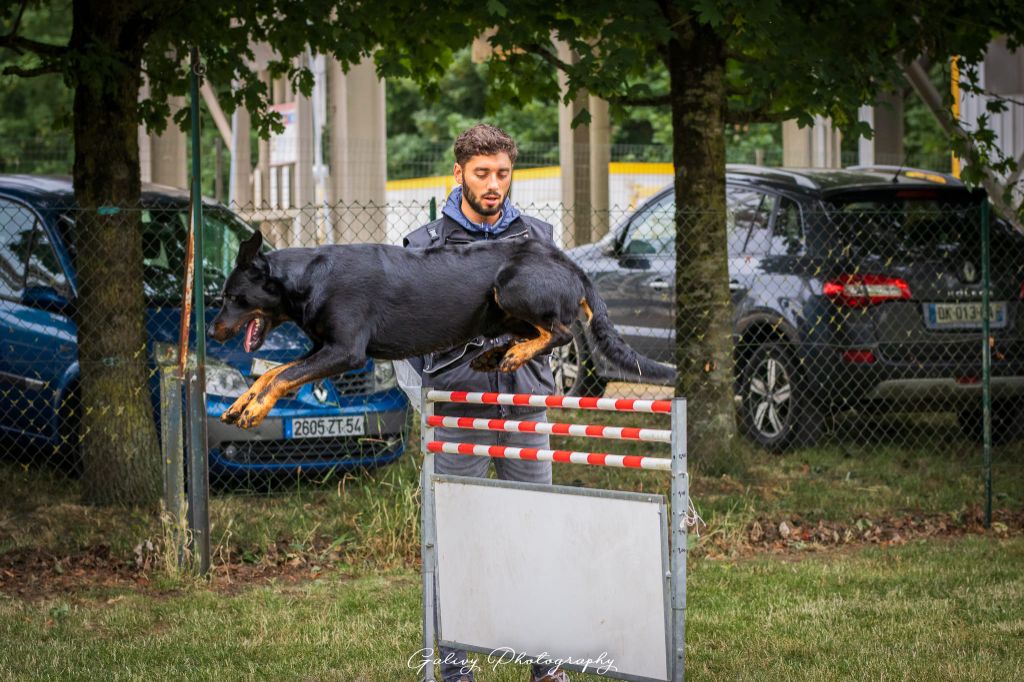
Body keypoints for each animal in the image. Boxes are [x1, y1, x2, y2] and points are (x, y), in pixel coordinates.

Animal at [208, 231, 675, 428]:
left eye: (232, 297)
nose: (213, 331)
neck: (305, 278)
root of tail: (570, 262)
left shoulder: (344, 351)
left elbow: (281, 377)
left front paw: (254, 410)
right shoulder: (323, 348)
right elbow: (273, 373)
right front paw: (242, 404)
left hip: (511, 286)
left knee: (557, 332)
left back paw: (511, 354)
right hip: (503, 309)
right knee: (533, 334)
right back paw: (495, 354)